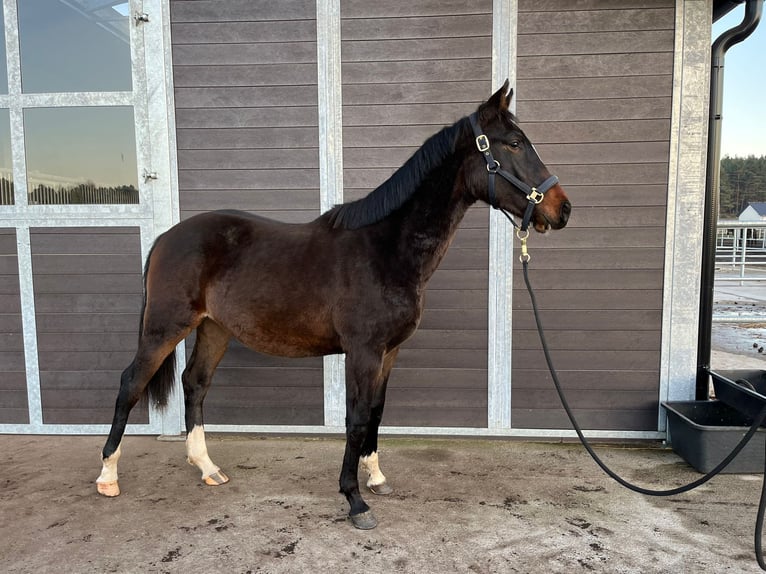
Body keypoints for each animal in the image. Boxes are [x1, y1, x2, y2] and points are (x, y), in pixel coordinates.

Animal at [96, 81, 571, 529]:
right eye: (513, 143)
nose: (562, 209)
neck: (385, 248)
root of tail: (166, 237)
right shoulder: (363, 352)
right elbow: (356, 417)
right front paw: (354, 499)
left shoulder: (389, 352)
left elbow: (376, 412)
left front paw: (375, 478)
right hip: (164, 327)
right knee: (130, 383)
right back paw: (108, 476)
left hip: (215, 328)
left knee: (194, 384)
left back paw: (207, 468)